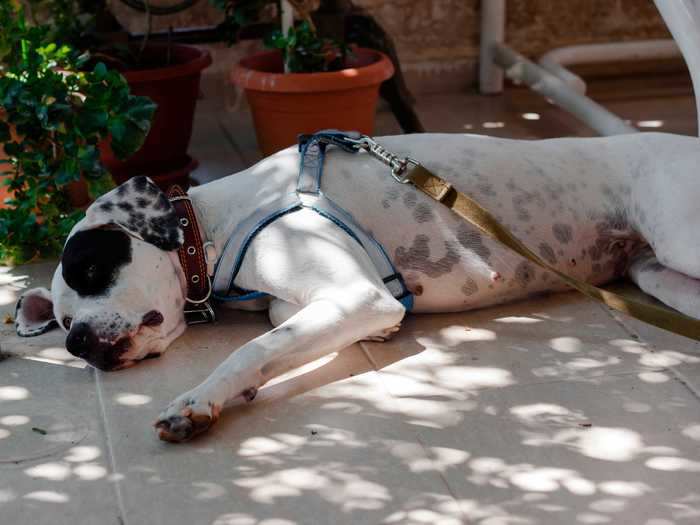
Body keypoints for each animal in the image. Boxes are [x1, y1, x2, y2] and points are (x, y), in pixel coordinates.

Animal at [13, 130, 700, 438]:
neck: (213, 227)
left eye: (92, 271)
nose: (75, 344)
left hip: (679, 239)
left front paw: (198, 401)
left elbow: (251, 348)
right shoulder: (334, 303)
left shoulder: (359, 296)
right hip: (659, 274)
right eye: (63, 322)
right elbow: (274, 330)